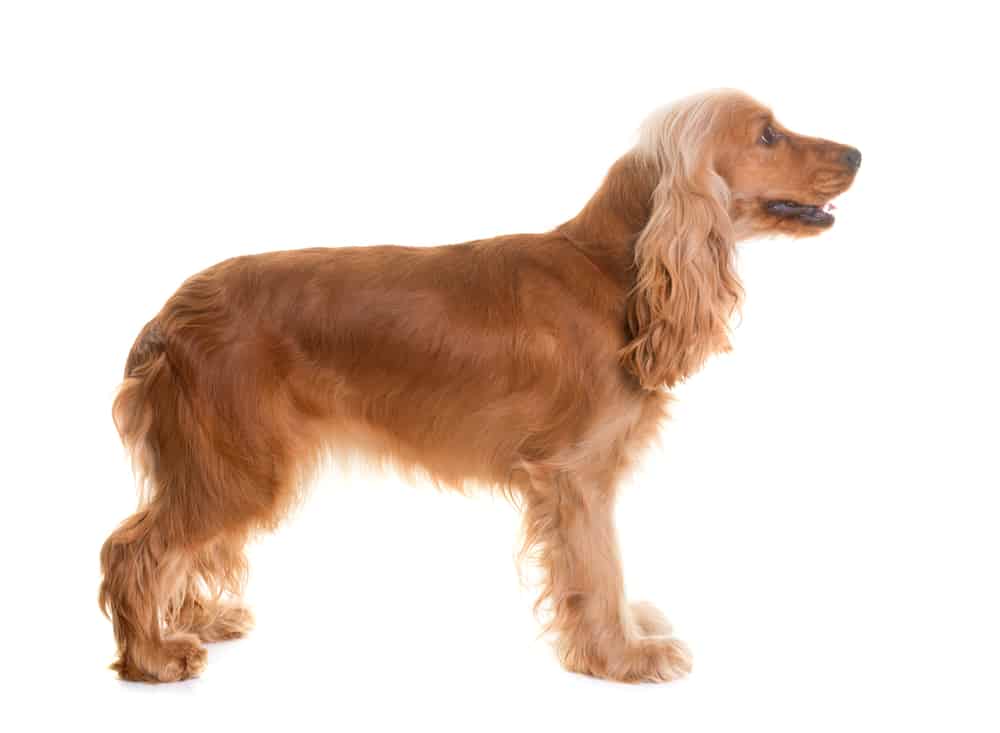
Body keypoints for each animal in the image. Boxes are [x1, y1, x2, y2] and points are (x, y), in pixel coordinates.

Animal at [99, 90, 860, 680]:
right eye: (767, 134)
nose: (856, 154)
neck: (614, 270)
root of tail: (166, 316)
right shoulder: (577, 474)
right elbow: (600, 567)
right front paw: (624, 656)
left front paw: (628, 637)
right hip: (241, 464)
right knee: (133, 548)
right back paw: (153, 656)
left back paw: (197, 621)